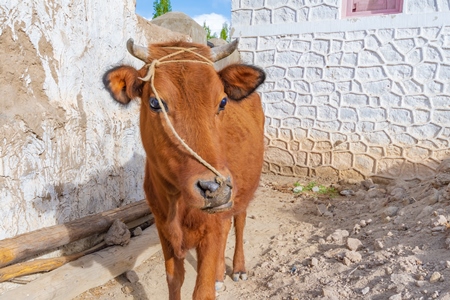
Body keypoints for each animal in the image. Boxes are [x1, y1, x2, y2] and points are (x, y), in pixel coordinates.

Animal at [103, 38, 266, 298]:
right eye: (155, 102)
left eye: (222, 101)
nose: (214, 188)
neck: (176, 202)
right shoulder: (164, 230)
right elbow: (174, 279)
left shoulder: (210, 228)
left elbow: (202, 291)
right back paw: (220, 274)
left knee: (239, 221)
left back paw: (238, 267)